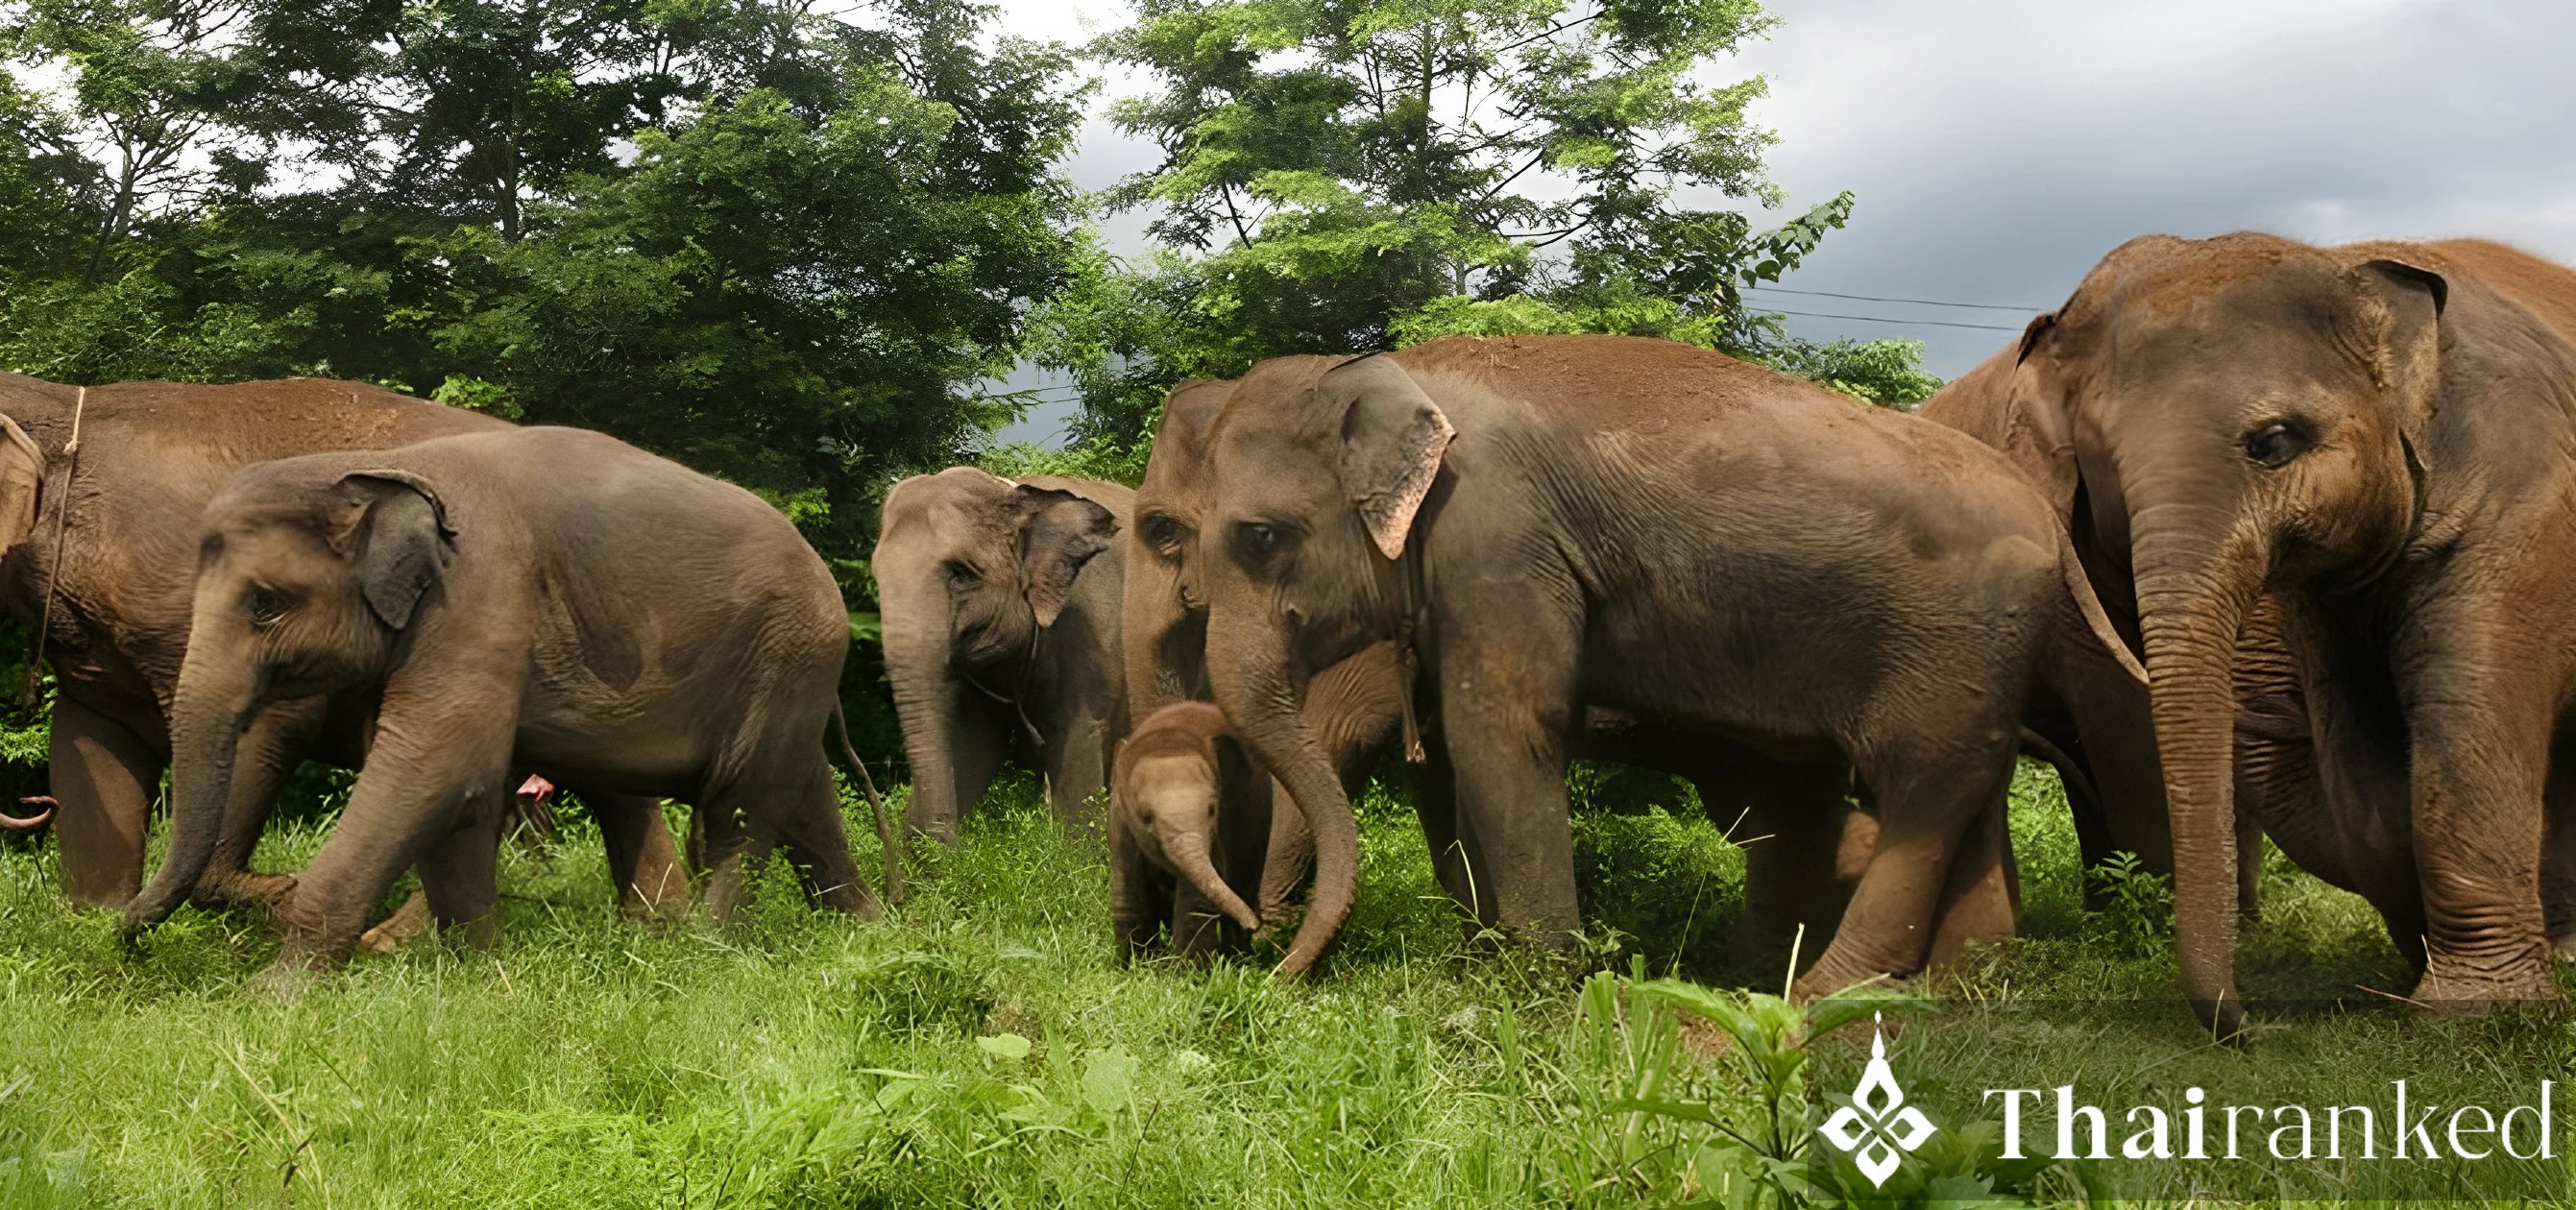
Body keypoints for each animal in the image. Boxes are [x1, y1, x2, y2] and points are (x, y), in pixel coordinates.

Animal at [0, 374, 682, 919]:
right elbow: (88, 748)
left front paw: (277, 894)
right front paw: (98, 924)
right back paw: (662, 930)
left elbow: (273, 718)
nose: (32, 802)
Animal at [123, 425, 884, 977]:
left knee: (738, 805)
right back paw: (868, 931)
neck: (376, 467)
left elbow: (436, 767)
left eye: (266, 606)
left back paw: (709, 952)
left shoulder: (480, 593)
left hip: (784, 655)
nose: (121, 934)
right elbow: (456, 793)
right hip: (789, 675)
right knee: (800, 796)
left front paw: (271, 998)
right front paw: (476, 978)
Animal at [874, 467, 1129, 844]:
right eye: (877, 579)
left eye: (960, 575)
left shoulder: (1092, 635)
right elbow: (974, 747)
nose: (954, 847)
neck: (1017, 492)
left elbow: (1079, 751)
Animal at [1184, 335, 2143, 991]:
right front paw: (1489, 967)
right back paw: (1955, 990)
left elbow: (1507, 728)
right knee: (1965, 791)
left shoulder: (1499, 538)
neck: (1391, 372)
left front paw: (1541, 992)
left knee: (1923, 786)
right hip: (1979, 653)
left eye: (1260, 538)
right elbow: (1454, 754)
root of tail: (2047, 515)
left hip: (1955, 636)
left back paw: (1824, 996)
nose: (1269, 962)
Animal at [2002, 232, 2576, 1030]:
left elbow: (2467, 716)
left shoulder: (2525, 500)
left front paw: (2474, 1014)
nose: (2247, 1028)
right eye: (2102, 465)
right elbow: (2363, 761)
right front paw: (2425, 973)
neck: (2344, 259)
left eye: (2273, 443)